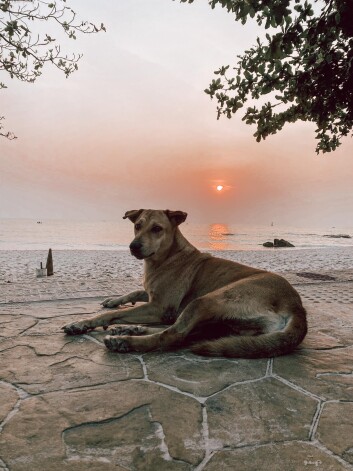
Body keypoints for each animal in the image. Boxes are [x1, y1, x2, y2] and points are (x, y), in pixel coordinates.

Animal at [62, 210, 306, 358]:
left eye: (157, 229)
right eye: (137, 226)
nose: (133, 246)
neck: (167, 257)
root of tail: (297, 306)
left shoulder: (160, 307)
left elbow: (111, 314)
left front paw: (83, 322)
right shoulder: (152, 295)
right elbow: (134, 292)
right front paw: (113, 300)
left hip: (206, 301)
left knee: (173, 335)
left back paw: (124, 341)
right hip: (223, 323)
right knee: (187, 333)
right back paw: (131, 328)